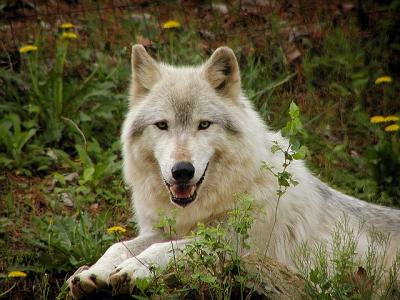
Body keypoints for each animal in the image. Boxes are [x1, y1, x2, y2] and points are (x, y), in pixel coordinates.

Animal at [66, 44, 400, 298]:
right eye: (162, 125)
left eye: (204, 124)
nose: (182, 171)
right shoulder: (163, 229)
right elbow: (119, 245)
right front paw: (93, 272)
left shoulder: (238, 245)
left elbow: (175, 248)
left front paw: (136, 268)